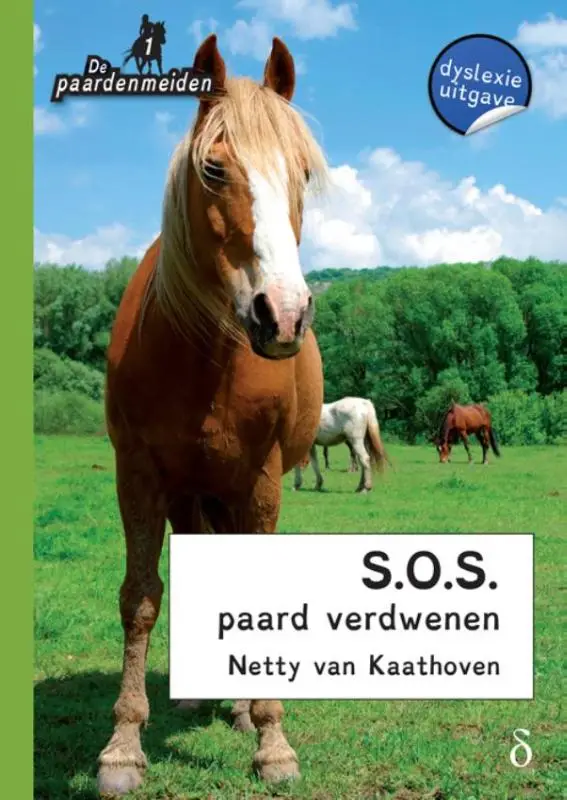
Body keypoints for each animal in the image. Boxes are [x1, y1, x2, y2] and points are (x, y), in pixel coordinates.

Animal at [96, 34, 329, 797]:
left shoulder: (259, 479)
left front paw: (271, 740)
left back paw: (236, 706)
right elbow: (140, 597)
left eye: (303, 173)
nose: (281, 315)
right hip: (190, 494)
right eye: (214, 168)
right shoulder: (140, 476)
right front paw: (122, 746)